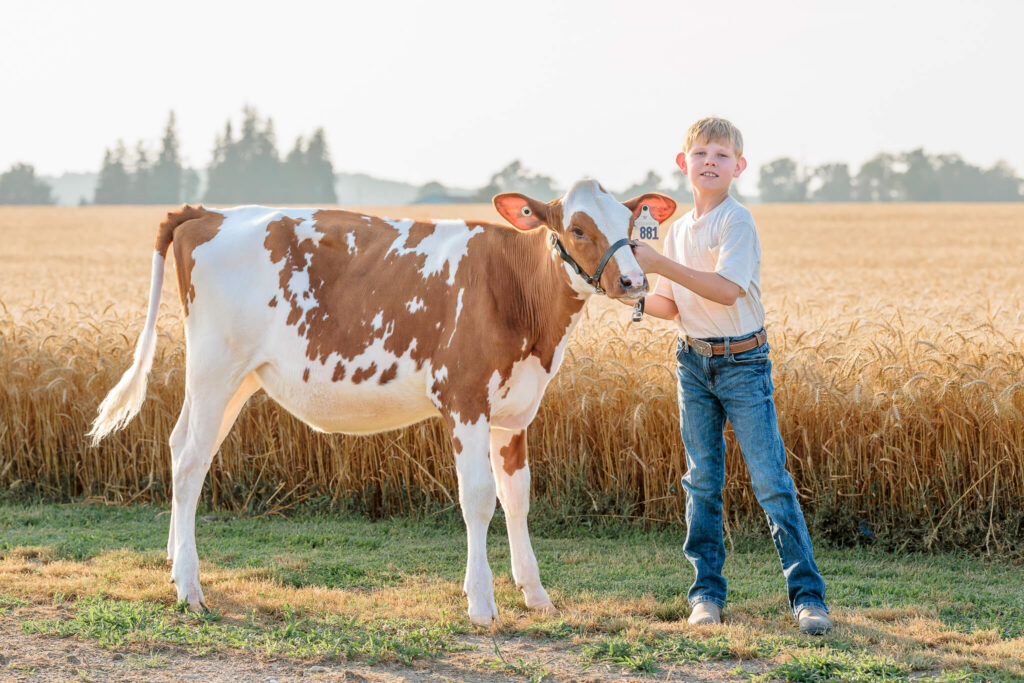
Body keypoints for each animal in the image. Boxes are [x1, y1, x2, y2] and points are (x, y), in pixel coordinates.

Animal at [88, 179, 676, 624]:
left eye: (630, 228)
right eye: (577, 228)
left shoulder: (515, 412)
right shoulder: (464, 400)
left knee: (179, 445)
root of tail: (208, 213)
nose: (633, 280)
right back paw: (189, 587)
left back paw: (173, 559)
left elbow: (517, 497)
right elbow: (478, 499)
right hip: (215, 367)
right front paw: (481, 603)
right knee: (190, 465)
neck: (516, 293)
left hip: (234, 380)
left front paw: (535, 594)